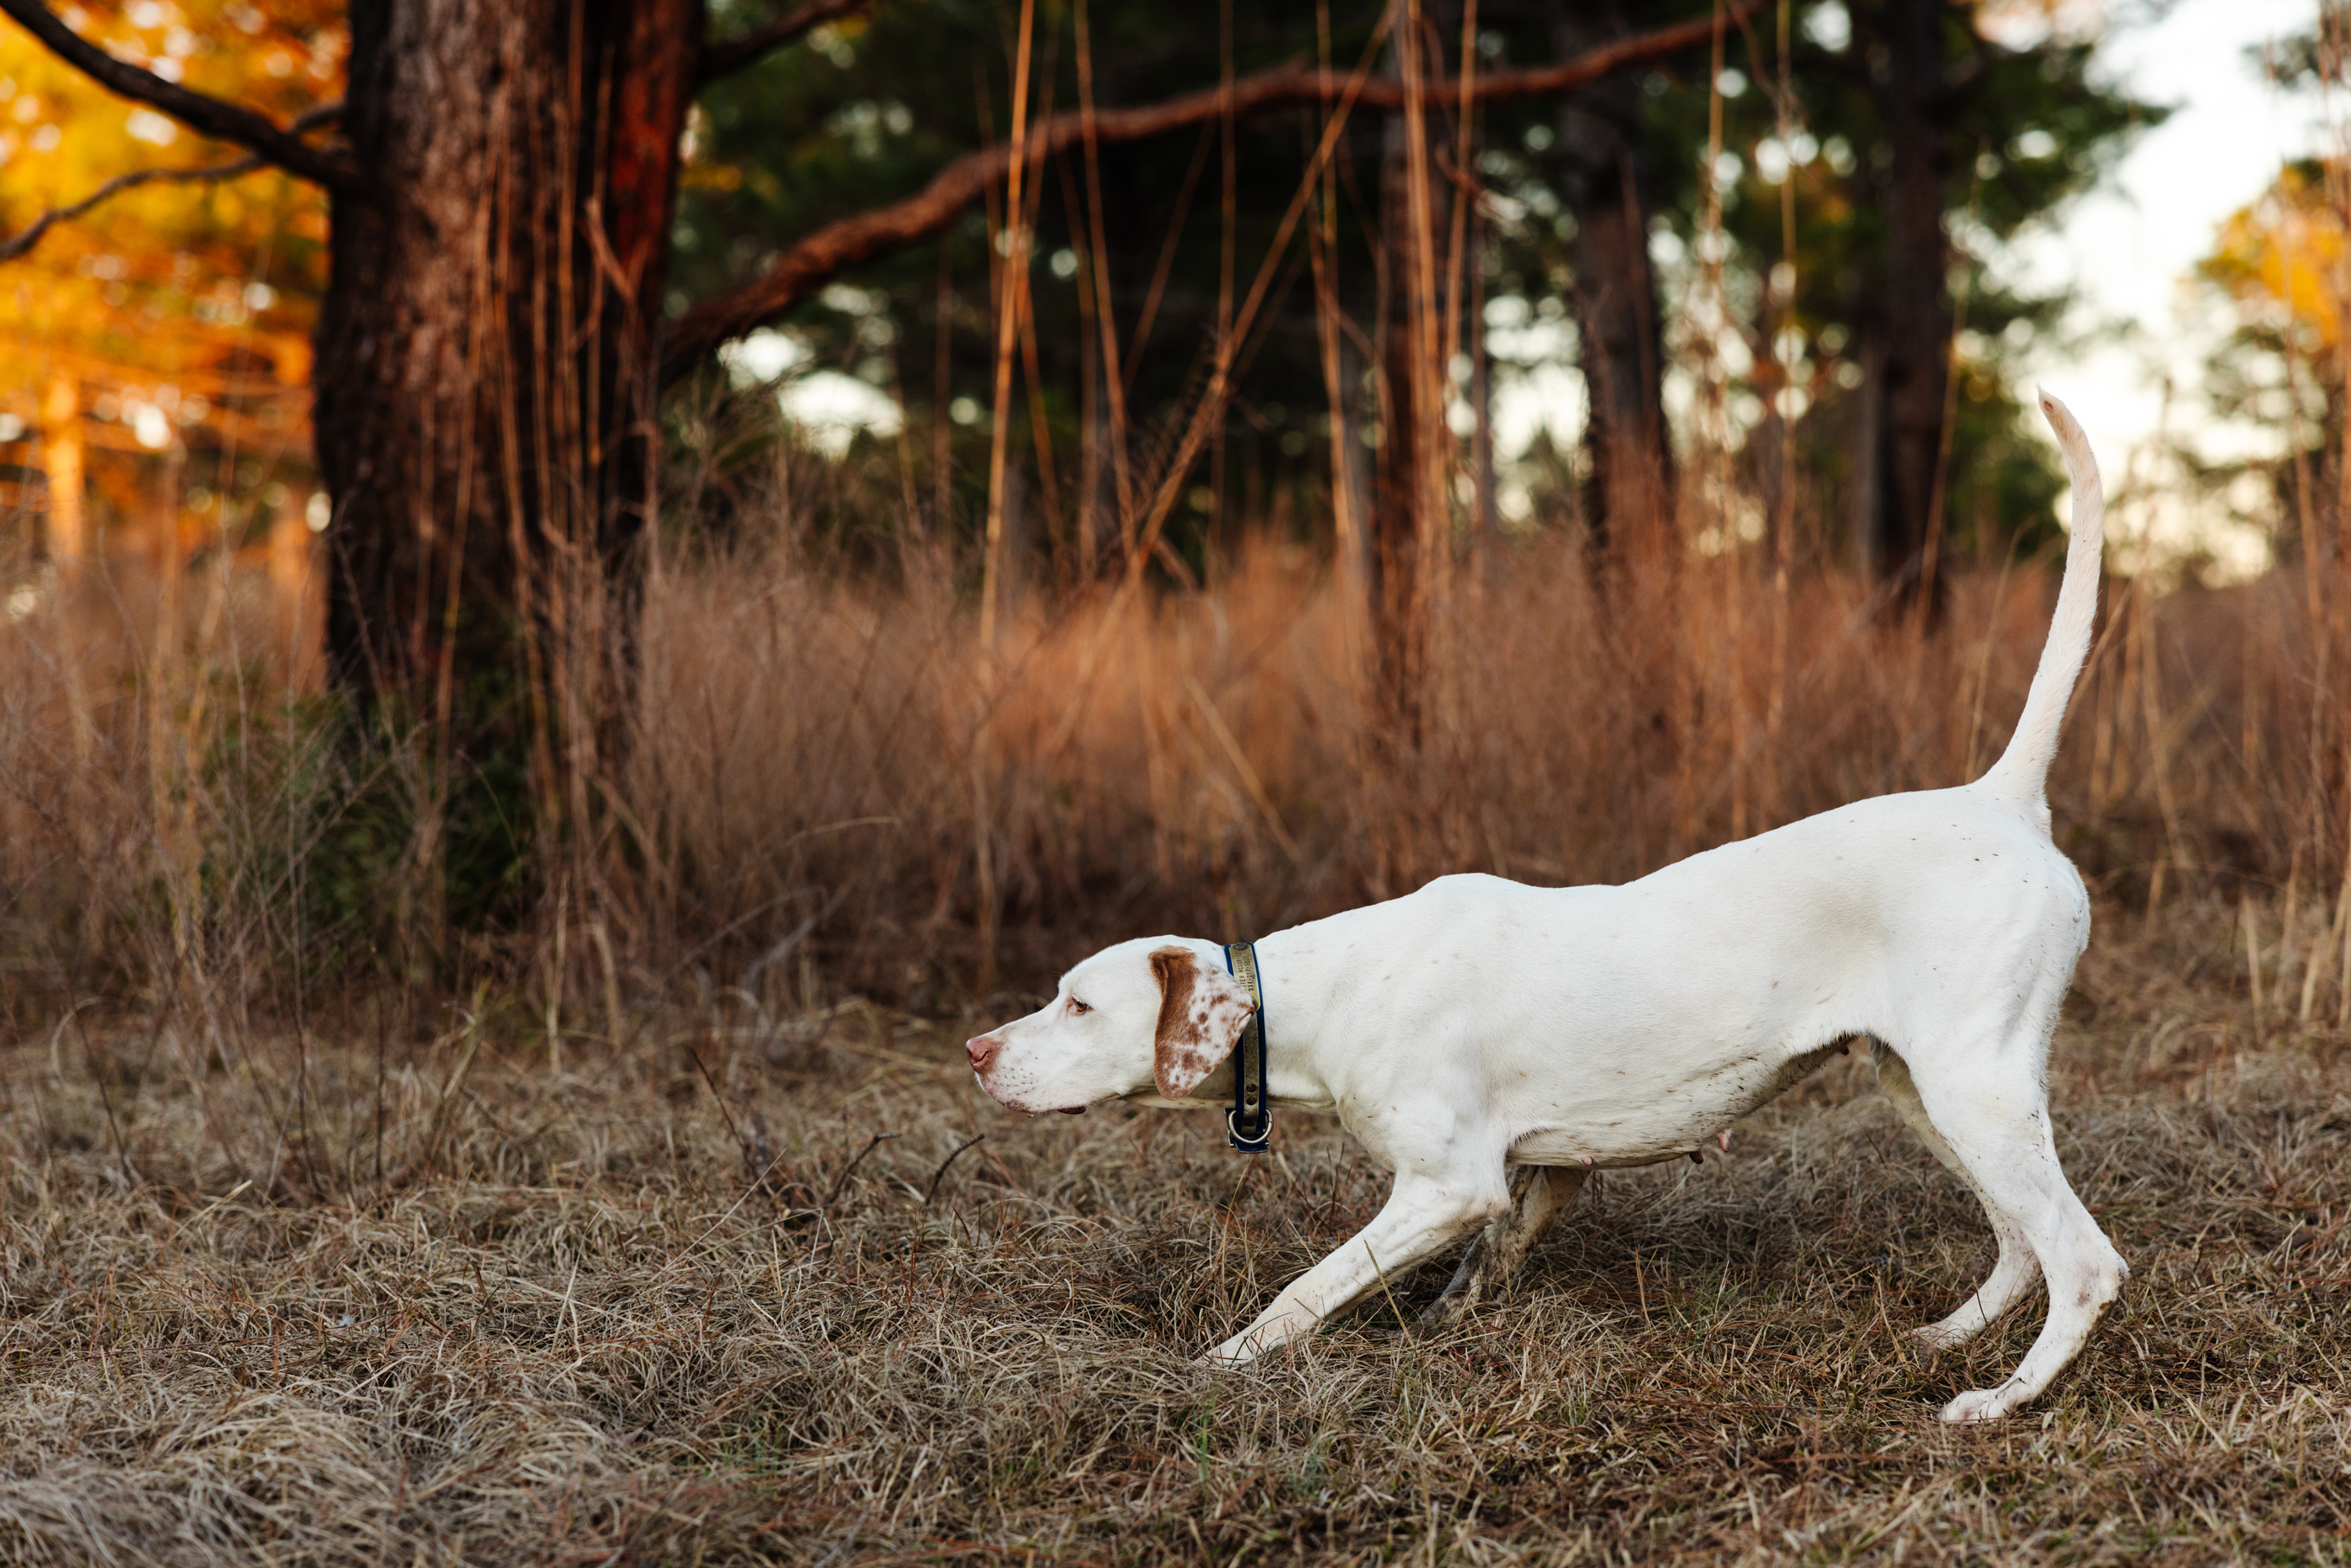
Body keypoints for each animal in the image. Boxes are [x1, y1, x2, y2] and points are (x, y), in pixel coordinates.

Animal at [964, 393, 2125, 1420]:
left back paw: (2001, 1401)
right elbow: (1489, 1261)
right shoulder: (1541, 1171)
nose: (976, 1053)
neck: (1324, 990)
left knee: (2083, 1260)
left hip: (1973, 1089)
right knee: (2021, 1245)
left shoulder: (1447, 1184)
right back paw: (1946, 1341)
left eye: (1076, 1004)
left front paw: (1221, 1365)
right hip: (1926, 1091)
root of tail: (2001, 795)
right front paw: (1447, 1324)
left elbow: (1308, 1288)